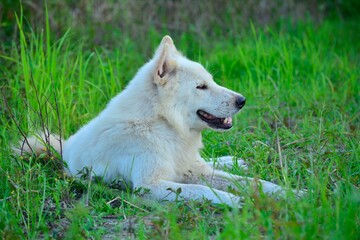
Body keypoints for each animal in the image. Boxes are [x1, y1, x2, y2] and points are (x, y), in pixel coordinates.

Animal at [18, 36, 302, 208]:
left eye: (211, 81)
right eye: (201, 86)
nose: (242, 100)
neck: (162, 125)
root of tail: (62, 148)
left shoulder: (190, 170)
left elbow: (257, 183)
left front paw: (295, 194)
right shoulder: (150, 186)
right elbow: (203, 190)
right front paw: (238, 202)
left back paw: (234, 160)